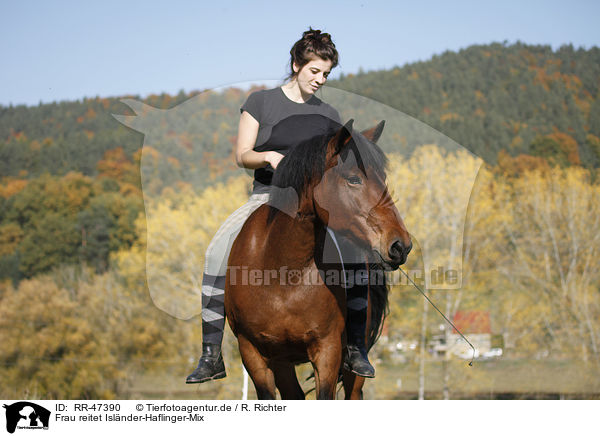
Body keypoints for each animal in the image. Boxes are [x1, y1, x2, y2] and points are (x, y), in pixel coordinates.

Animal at [225, 118, 412, 398]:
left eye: (383, 178)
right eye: (354, 178)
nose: (401, 245)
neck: (283, 274)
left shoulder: (327, 351)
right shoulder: (254, 354)